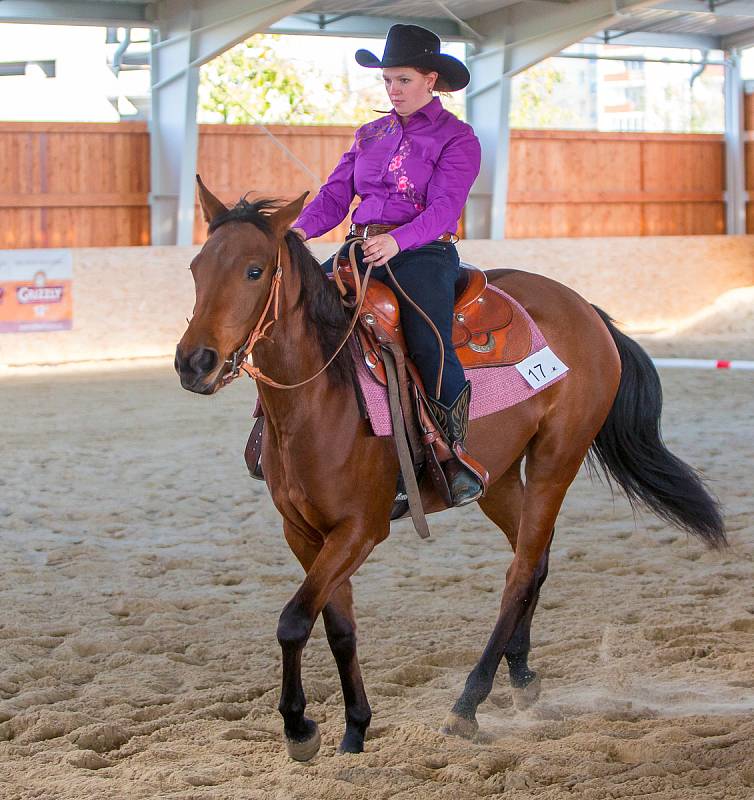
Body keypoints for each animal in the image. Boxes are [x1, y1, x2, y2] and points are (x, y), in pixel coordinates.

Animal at [175, 180, 724, 764]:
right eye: (196, 267)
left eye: (255, 270)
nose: (193, 362)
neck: (322, 394)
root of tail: (585, 309)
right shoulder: (304, 532)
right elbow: (337, 626)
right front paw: (355, 728)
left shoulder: (359, 530)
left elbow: (294, 620)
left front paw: (300, 728)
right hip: (496, 478)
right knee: (535, 557)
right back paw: (522, 677)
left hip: (557, 460)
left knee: (520, 573)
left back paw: (469, 701)